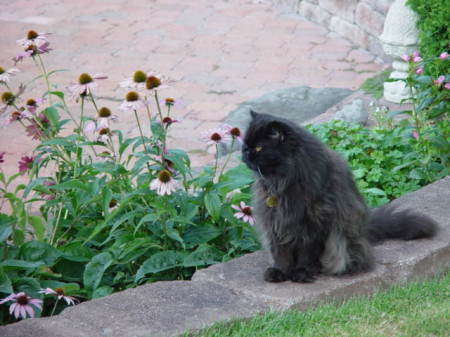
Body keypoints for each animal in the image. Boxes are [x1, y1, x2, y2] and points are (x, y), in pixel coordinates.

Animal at [244, 111, 438, 282]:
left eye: (259, 147)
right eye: (245, 146)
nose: (245, 155)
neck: (281, 182)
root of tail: (365, 229)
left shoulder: (313, 224)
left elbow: (307, 254)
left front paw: (302, 272)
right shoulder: (274, 222)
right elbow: (280, 254)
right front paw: (280, 272)